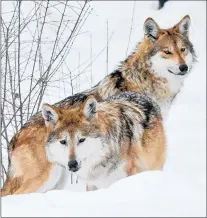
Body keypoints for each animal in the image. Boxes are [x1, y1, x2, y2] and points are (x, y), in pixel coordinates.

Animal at [1, 14, 196, 196]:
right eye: (167, 52)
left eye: (183, 50)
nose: (184, 67)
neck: (144, 82)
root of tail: (14, 137)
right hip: (44, 178)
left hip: (57, 180)